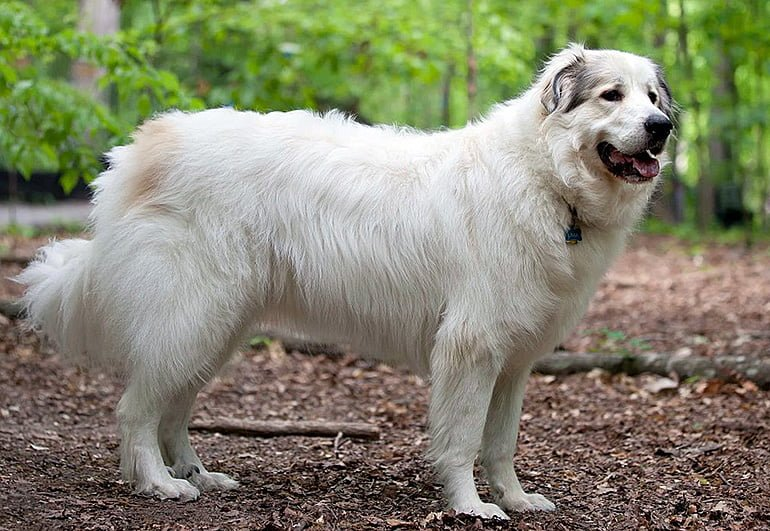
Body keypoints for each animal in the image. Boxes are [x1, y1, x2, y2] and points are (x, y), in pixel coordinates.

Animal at [16, 45, 664, 520]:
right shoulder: (472, 349)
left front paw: (515, 499)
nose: (660, 127)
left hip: (214, 328)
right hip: (191, 317)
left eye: (654, 97)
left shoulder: (513, 362)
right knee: (136, 411)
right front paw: (471, 508)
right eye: (612, 95)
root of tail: (142, 148)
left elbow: (500, 444)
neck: (547, 180)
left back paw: (199, 475)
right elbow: (461, 440)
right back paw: (158, 483)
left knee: (172, 411)